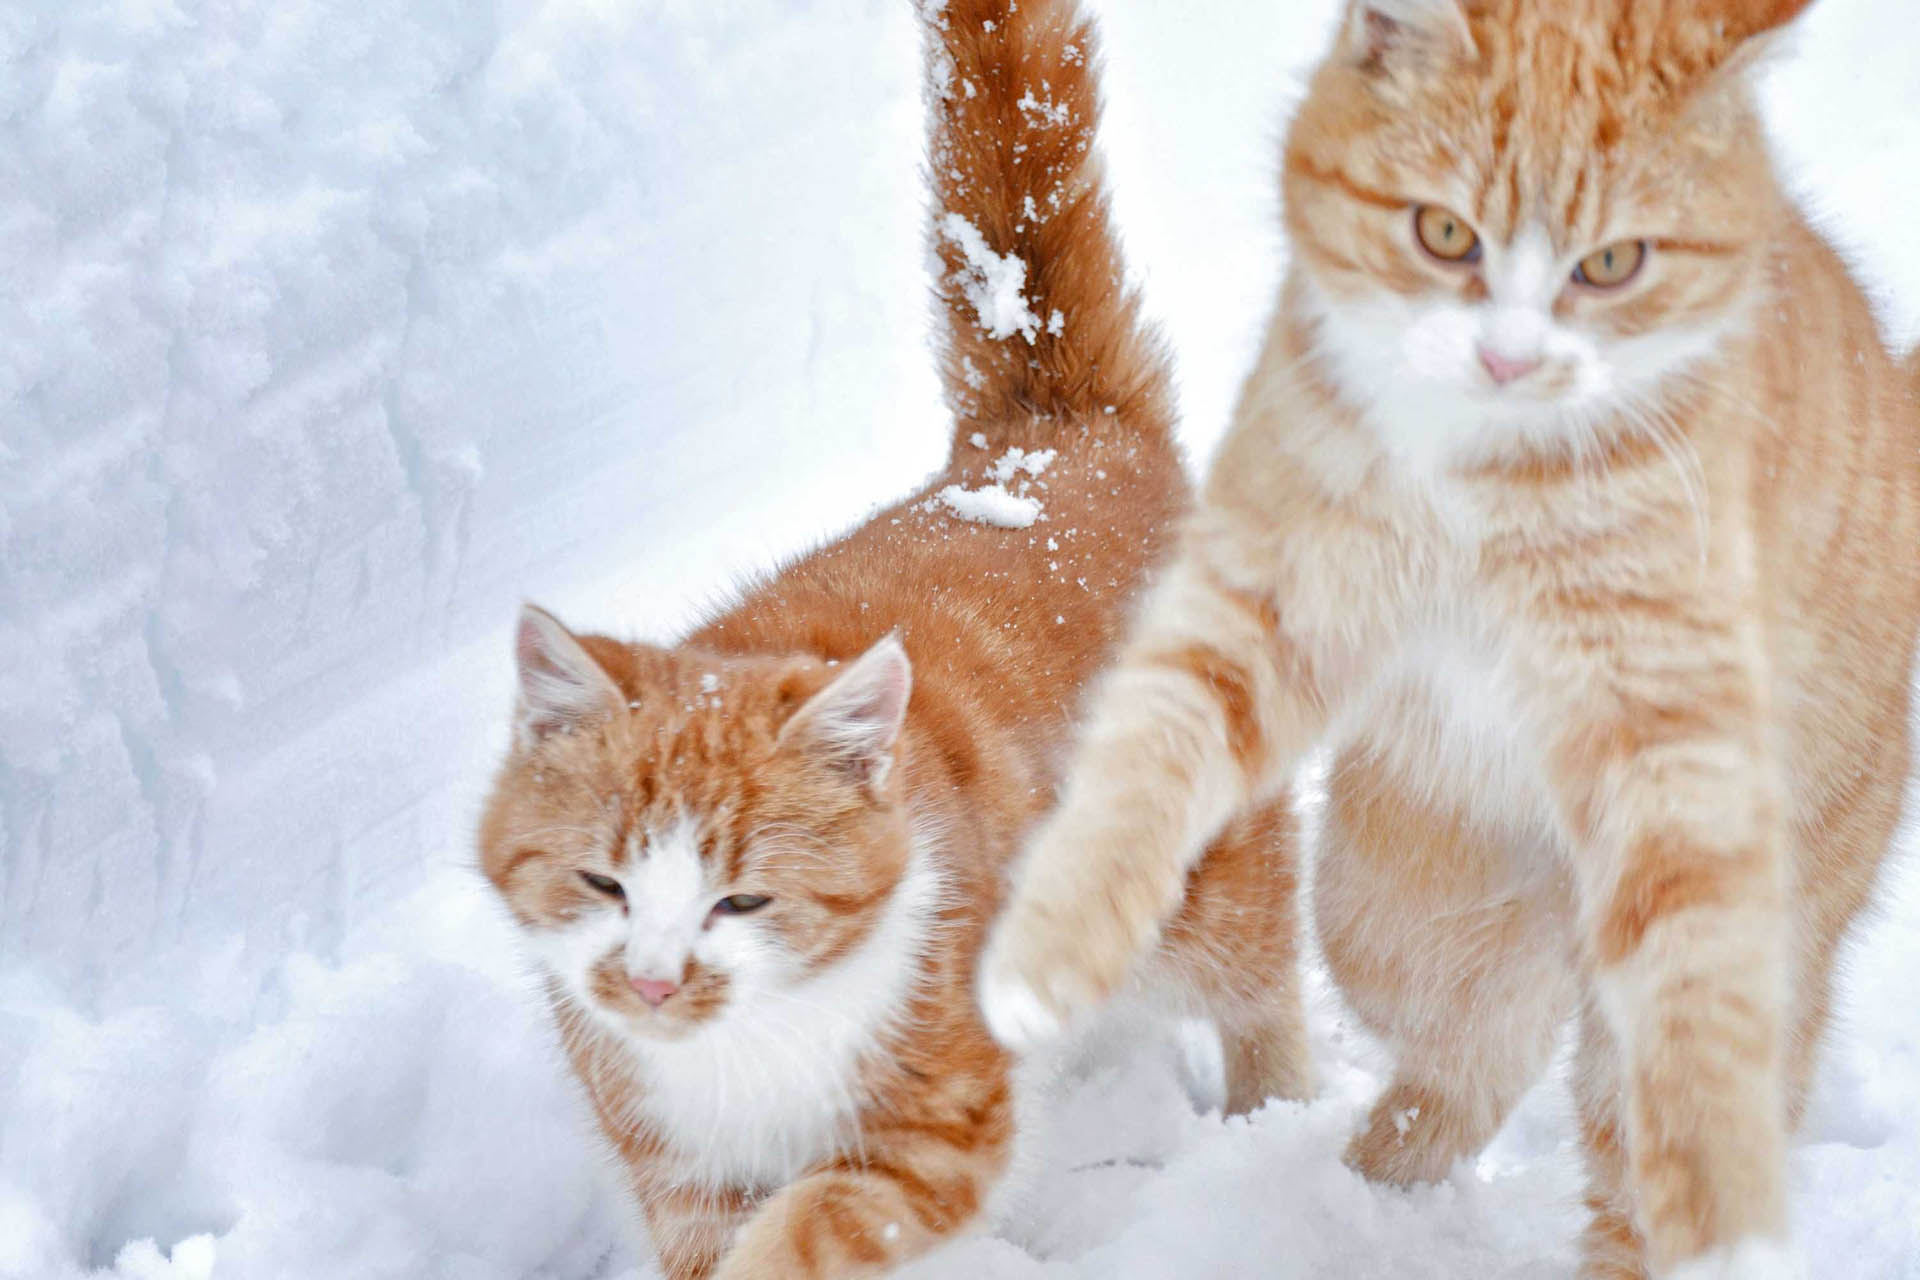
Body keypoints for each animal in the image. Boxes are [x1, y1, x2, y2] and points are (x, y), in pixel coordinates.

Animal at [480, 2, 1320, 1280]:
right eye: (602, 883)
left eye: (742, 901)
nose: (656, 983)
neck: (751, 1051)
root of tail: (1047, 435)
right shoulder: (674, 1164)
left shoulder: (940, 1118)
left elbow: (810, 1223)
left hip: (1204, 881)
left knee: (1262, 988)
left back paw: (1276, 1128)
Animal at [983, 2, 1912, 1280]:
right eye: (1443, 232)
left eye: (1611, 263)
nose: (1509, 357)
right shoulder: (1265, 588)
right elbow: (1145, 765)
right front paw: (1050, 951)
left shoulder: (1667, 720)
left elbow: (1690, 1054)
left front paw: (1718, 1197)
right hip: (1387, 891)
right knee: (1472, 1036)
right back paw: (1366, 1180)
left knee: (1616, 1102)